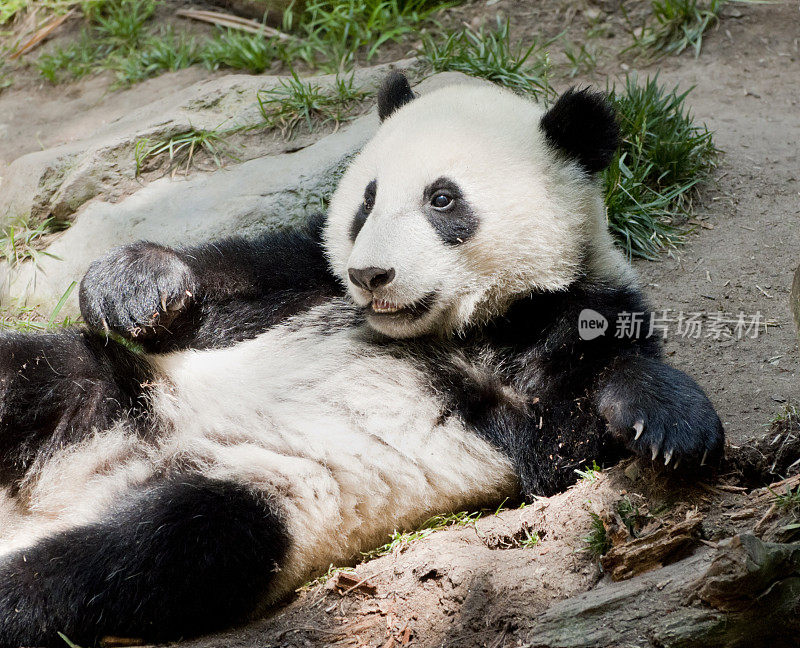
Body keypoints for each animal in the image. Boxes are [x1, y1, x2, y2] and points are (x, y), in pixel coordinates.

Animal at [0, 73, 724, 644]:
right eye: (367, 200)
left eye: (442, 199)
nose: (372, 274)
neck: (449, 328)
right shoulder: (311, 282)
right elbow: (234, 281)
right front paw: (134, 285)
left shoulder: (564, 316)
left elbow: (569, 420)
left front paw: (671, 424)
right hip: (128, 395)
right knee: (42, 378)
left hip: (266, 499)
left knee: (148, 548)